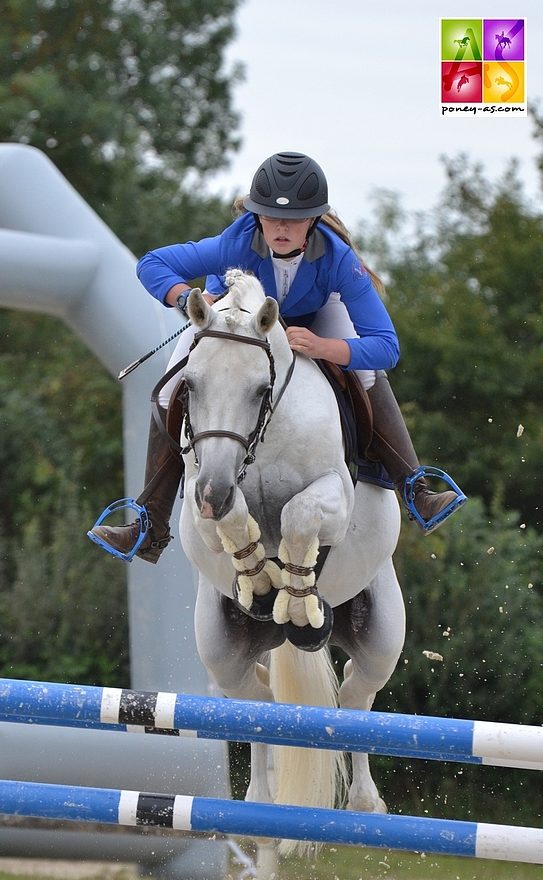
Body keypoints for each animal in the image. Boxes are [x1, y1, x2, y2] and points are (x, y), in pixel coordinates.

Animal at [181, 268, 406, 860]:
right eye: (189, 385)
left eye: (261, 390)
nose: (212, 490)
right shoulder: (199, 507)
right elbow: (235, 523)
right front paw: (260, 581)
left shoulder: (334, 498)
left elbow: (298, 515)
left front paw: (297, 598)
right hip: (221, 650)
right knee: (256, 704)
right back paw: (258, 807)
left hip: (382, 633)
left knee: (354, 697)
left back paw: (365, 806)